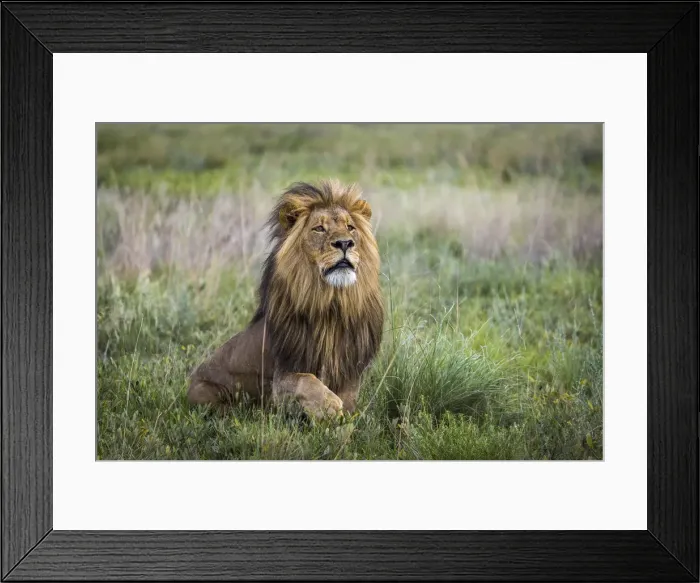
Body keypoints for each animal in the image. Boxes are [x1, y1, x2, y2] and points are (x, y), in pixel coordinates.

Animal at [187, 179, 384, 420]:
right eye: (319, 228)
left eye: (350, 227)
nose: (345, 243)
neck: (331, 304)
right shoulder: (281, 380)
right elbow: (306, 380)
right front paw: (328, 406)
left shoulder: (349, 372)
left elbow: (347, 402)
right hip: (207, 393)